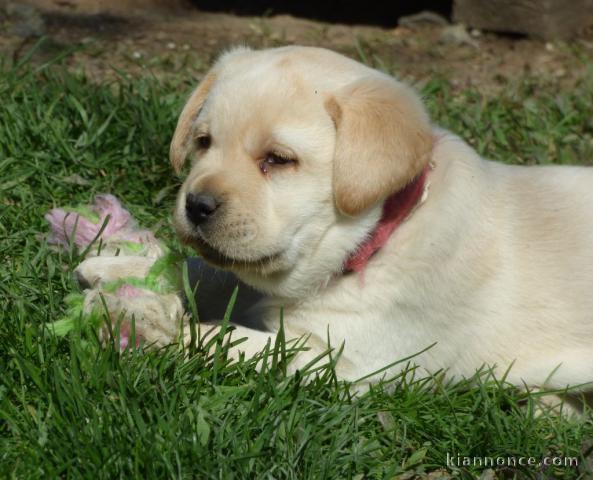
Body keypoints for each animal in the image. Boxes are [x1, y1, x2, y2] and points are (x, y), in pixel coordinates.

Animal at [86, 44, 592, 398]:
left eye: (278, 160)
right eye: (204, 142)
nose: (196, 205)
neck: (378, 239)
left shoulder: (341, 359)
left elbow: (227, 341)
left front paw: (142, 323)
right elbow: (210, 272)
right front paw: (121, 270)